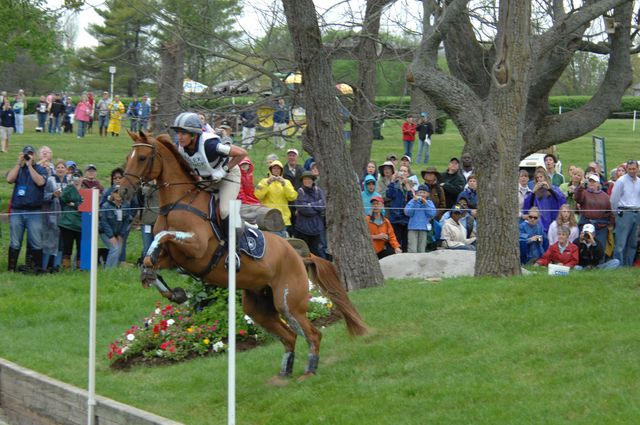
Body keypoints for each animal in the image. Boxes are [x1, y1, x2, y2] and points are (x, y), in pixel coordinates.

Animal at [119, 131, 364, 380]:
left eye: (141, 158)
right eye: (128, 157)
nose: (122, 192)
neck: (178, 202)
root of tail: (301, 257)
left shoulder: (197, 247)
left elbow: (163, 236)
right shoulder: (176, 257)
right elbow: (153, 255)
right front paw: (166, 286)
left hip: (288, 302)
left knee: (312, 334)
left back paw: (308, 372)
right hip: (257, 306)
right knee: (289, 336)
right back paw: (283, 375)